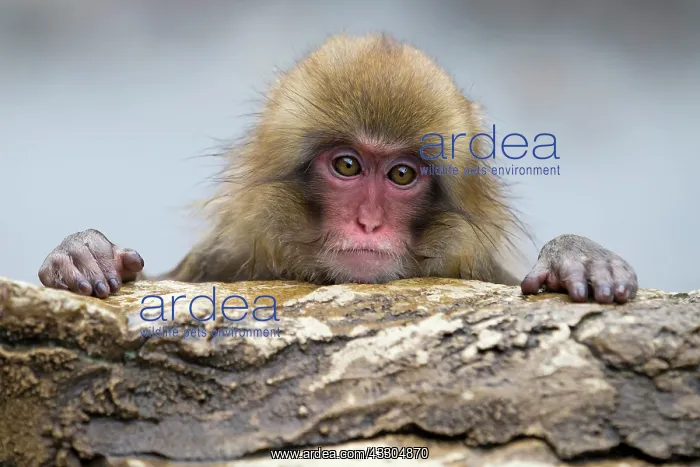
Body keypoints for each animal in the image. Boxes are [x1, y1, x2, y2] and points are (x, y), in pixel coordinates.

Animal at [38, 33, 638, 305]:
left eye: (401, 176)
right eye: (347, 165)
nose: (368, 223)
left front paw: (575, 256)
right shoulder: (220, 259)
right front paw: (82, 251)